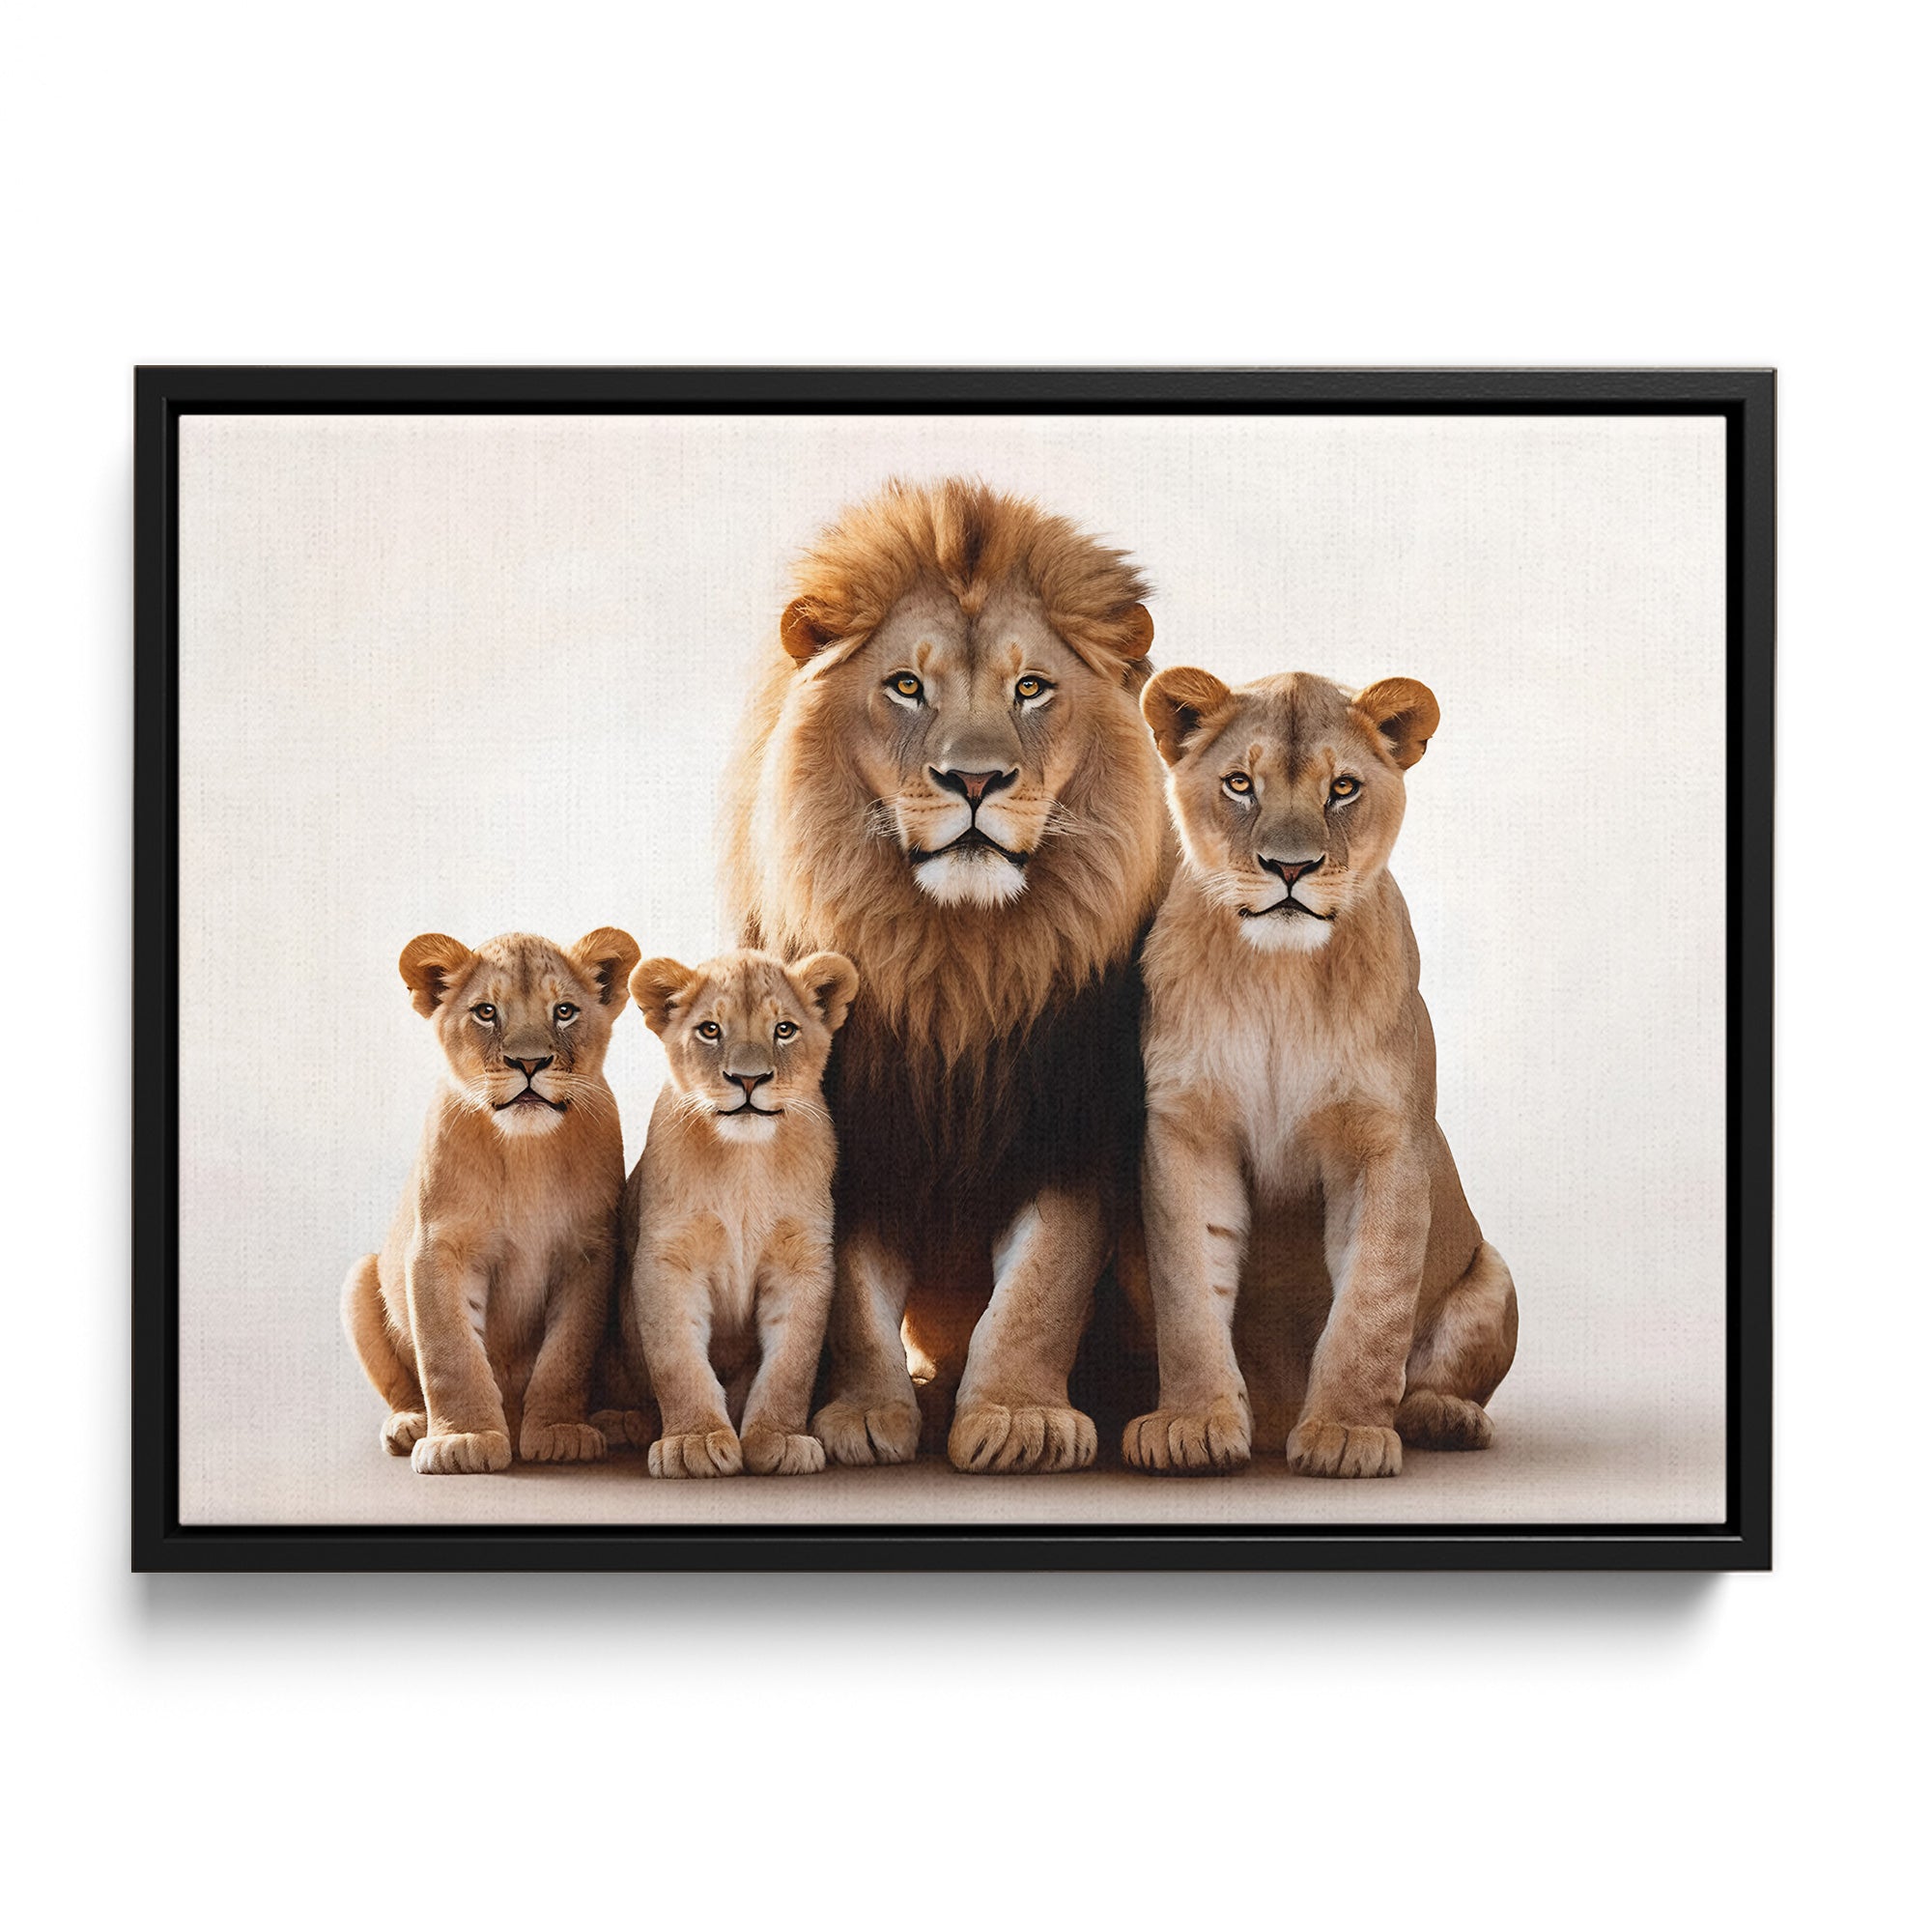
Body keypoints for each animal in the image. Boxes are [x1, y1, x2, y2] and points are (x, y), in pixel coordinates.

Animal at [340, 926, 642, 1474]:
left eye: (564, 1011)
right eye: (486, 1012)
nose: (529, 1062)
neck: (524, 1151)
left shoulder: (589, 1251)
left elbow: (567, 1353)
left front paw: (560, 1432)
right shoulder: (438, 1247)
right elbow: (450, 1351)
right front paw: (463, 1439)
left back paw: (618, 1421)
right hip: (358, 1278)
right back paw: (409, 1424)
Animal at [621, 947, 858, 1477]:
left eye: (784, 1029)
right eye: (710, 1030)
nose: (749, 1079)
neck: (745, 1162)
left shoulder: (803, 1260)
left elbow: (792, 1363)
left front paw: (779, 1438)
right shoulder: (668, 1258)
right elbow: (677, 1359)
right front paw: (692, 1441)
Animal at [721, 478, 1170, 1472]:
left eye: (1030, 688)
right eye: (907, 686)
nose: (975, 781)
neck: (955, 966)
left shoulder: (1076, 1133)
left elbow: (1039, 1287)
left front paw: (1019, 1418)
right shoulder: (854, 1132)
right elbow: (851, 1296)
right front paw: (862, 1416)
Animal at [1123, 668, 1517, 1478]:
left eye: (1342, 788)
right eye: (1241, 784)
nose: (1291, 868)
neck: (1282, 977)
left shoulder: (1385, 1141)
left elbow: (1373, 1301)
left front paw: (1346, 1432)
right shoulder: (1186, 1129)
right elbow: (1188, 1290)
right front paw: (1191, 1423)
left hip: (1494, 1273)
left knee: (1440, 1374)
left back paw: (1443, 1417)